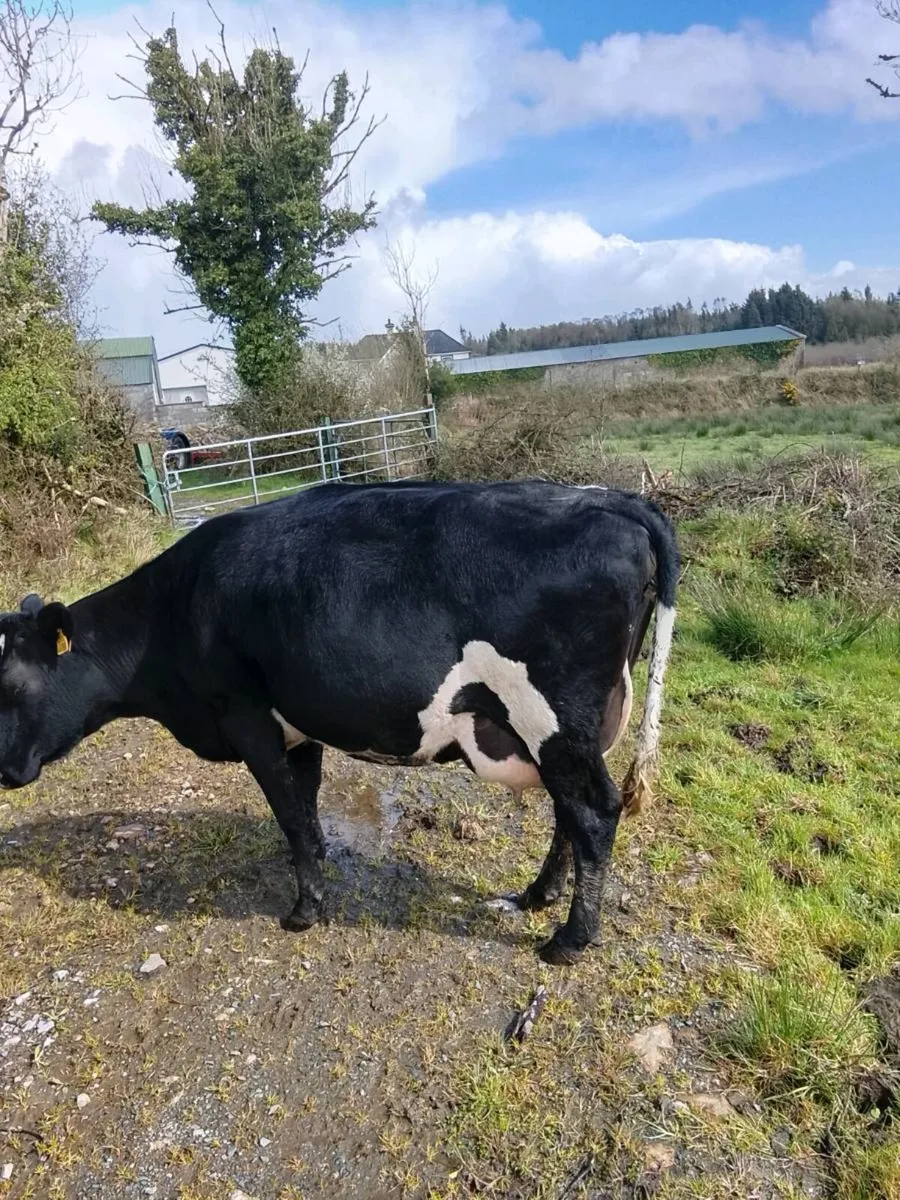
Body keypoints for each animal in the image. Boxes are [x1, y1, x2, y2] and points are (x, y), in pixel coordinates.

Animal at [0, 479, 679, 965]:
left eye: (11, 684)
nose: (6, 772)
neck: (174, 611)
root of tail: (613, 499)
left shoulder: (246, 718)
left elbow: (289, 815)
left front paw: (303, 912)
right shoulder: (299, 723)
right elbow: (305, 808)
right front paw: (319, 873)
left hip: (551, 718)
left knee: (593, 810)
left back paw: (568, 940)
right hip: (569, 730)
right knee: (570, 810)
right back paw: (537, 897)